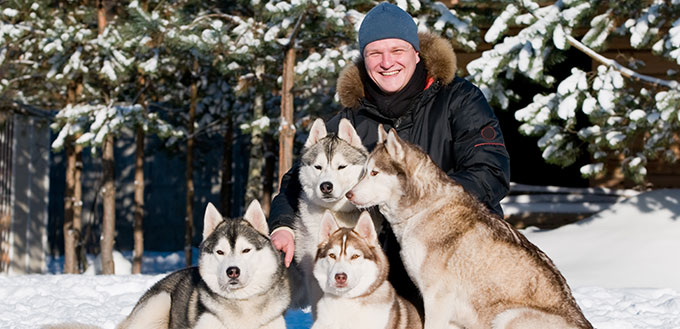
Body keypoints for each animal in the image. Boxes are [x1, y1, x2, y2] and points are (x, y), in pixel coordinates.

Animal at [348, 127, 592, 328]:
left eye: (374, 173)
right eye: (363, 172)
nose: (348, 194)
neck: (420, 210)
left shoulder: (436, 297)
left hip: (507, 316)